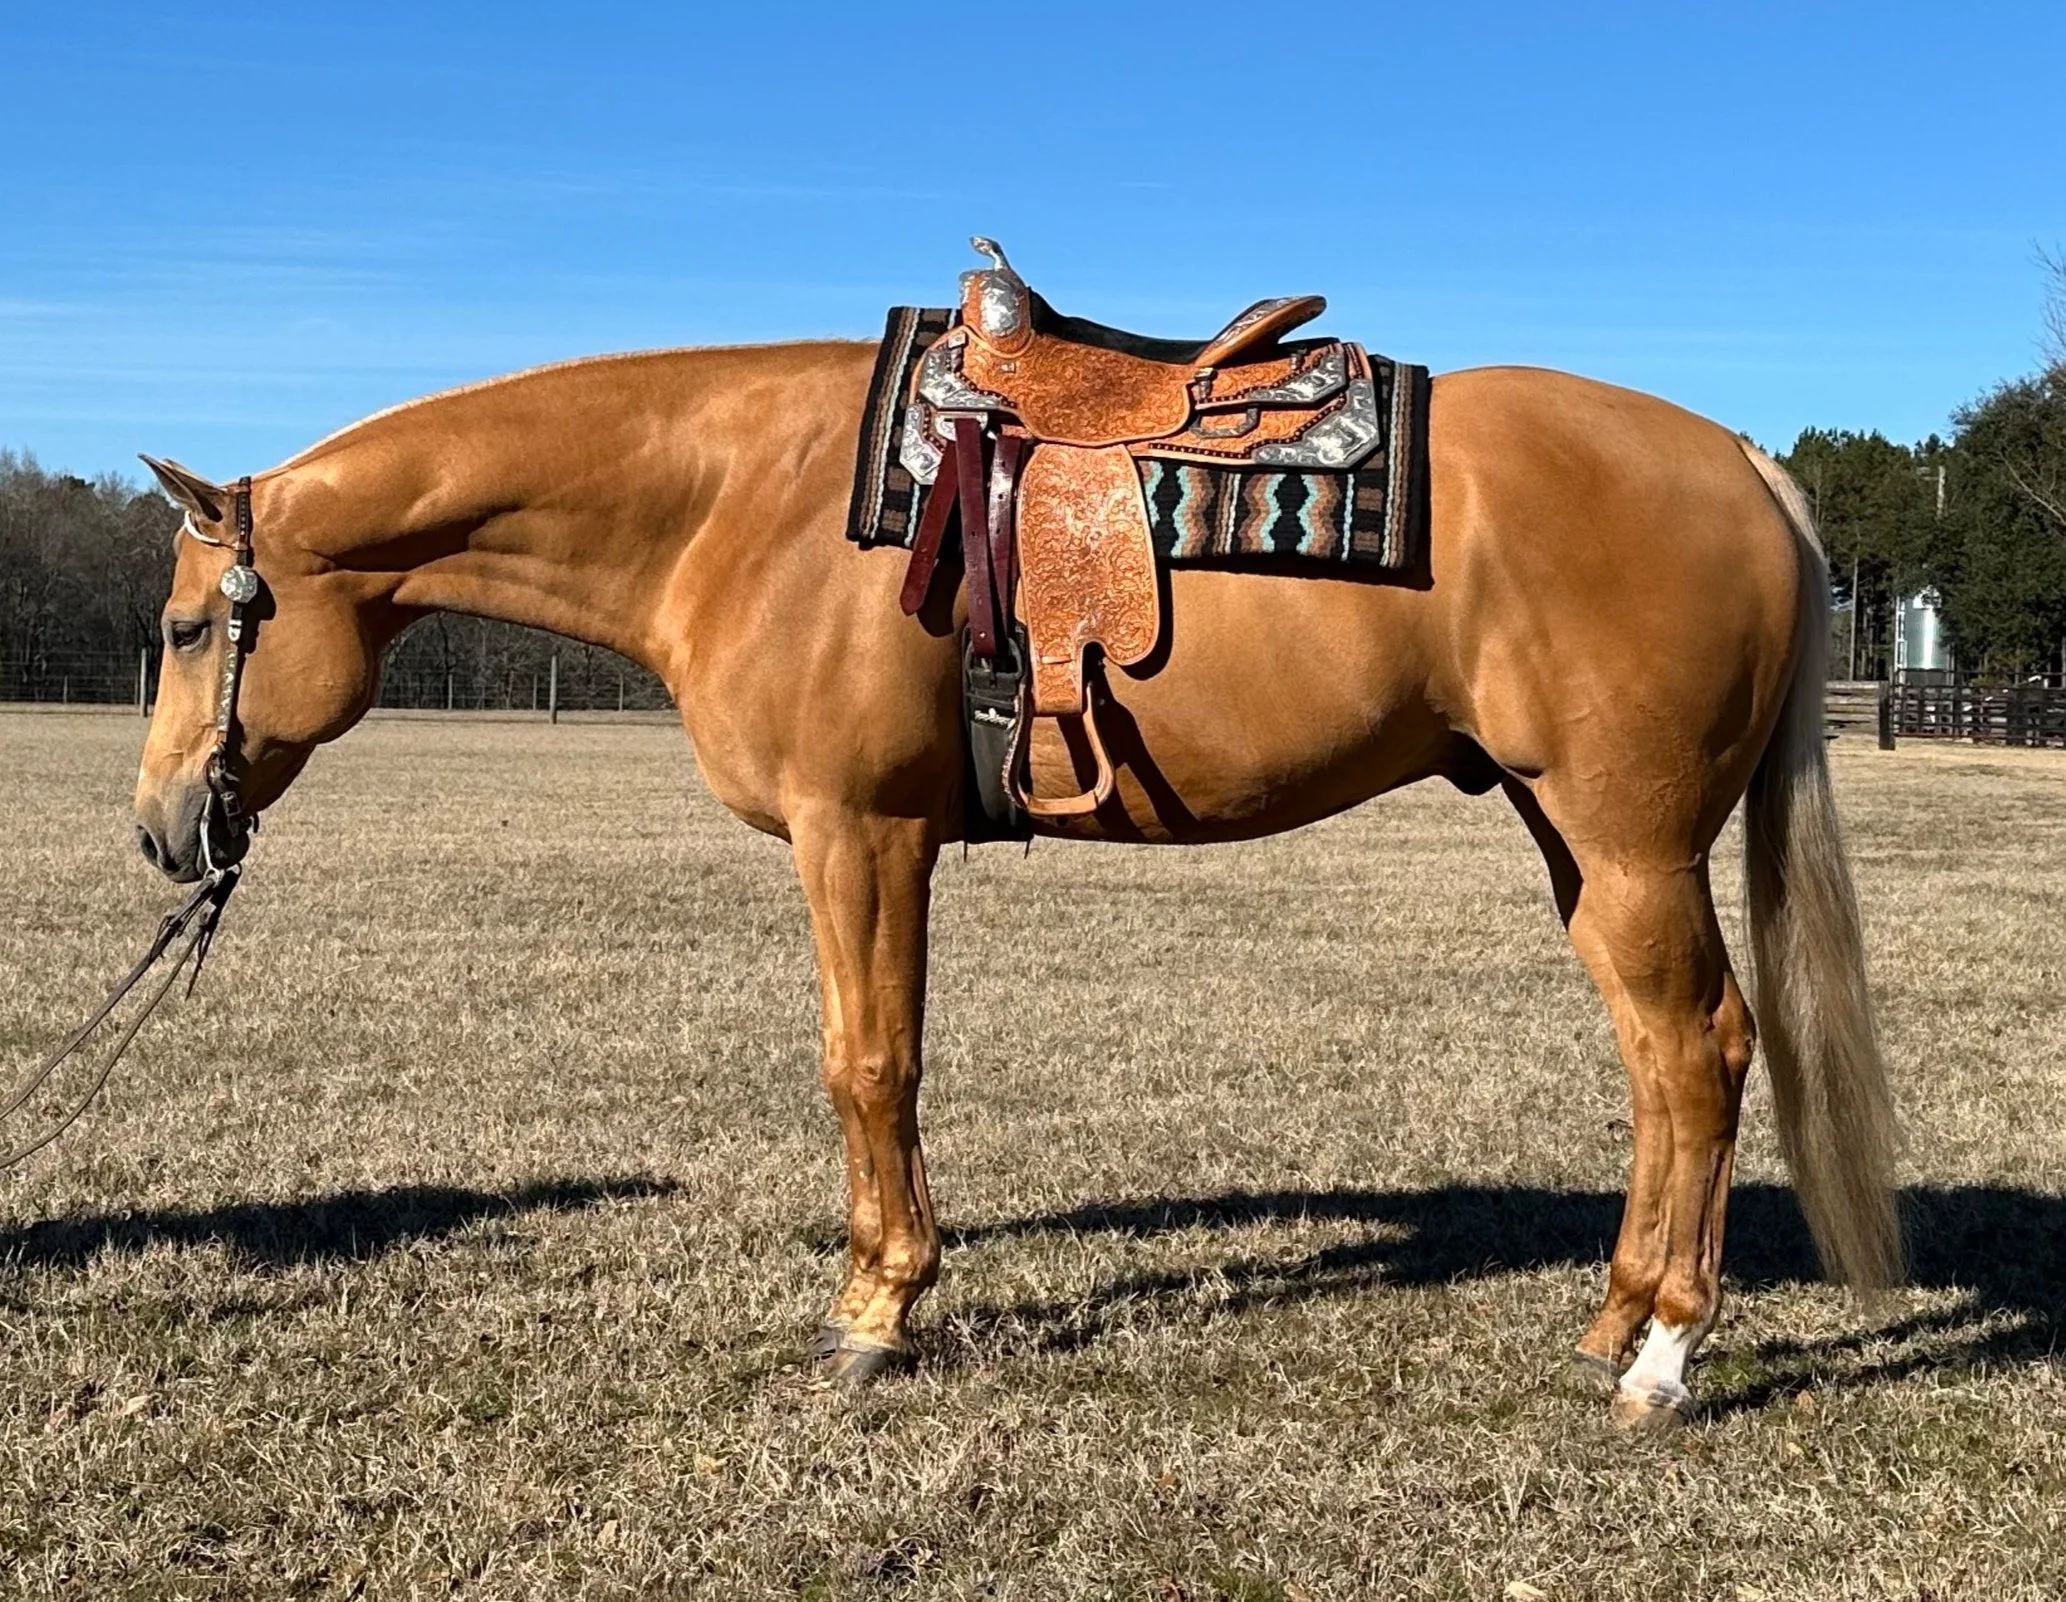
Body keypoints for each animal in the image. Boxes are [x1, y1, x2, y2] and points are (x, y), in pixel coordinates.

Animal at [131, 336, 1900, 1429]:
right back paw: (1612, 1319)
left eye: (186, 627)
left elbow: (868, 1064)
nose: (158, 835)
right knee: (1660, 1065)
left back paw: (1662, 1359)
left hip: (1629, 847)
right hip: (1581, 849)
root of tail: (1741, 462)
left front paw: (874, 1313)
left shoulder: (861, 833)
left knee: (1699, 1053)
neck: (736, 499)